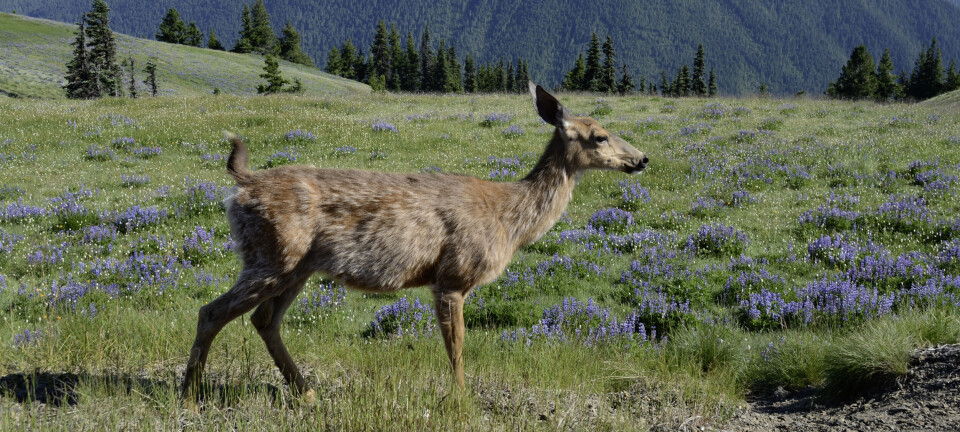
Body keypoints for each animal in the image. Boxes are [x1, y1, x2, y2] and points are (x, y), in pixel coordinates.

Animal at [180, 82, 648, 402]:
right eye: (600, 135)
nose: (642, 158)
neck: (510, 220)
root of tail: (242, 184)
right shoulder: (453, 275)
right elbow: (457, 346)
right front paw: (462, 400)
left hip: (296, 266)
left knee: (264, 321)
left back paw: (307, 394)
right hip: (271, 254)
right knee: (211, 311)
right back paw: (189, 395)